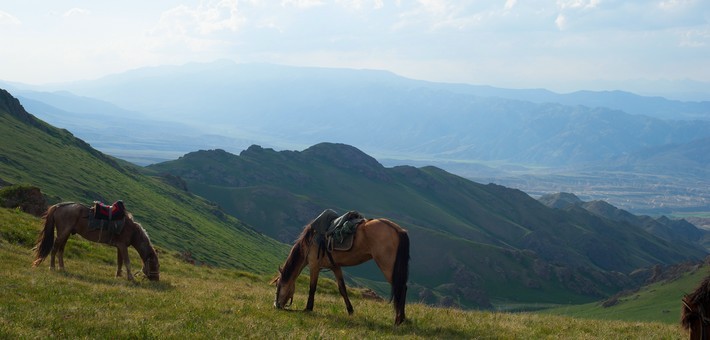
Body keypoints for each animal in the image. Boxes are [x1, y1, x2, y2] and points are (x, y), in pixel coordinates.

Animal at [32, 203, 160, 280]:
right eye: (155, 265)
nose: (156, 280)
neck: (132, 230)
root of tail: (58, 206)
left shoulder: (120, 246)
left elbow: (120, 262)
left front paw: (118, 275)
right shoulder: (123, 246)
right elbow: (127, 262)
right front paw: (131, 278)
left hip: (66, 234)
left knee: (61, 250)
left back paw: (62, 268)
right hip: (62, 233)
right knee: (54, 249)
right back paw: (52, 267)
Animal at [272, 216, 412, 326]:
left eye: (278, 286)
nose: (276, 305)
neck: (309, 243)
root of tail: (397, 229)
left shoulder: (314, 266)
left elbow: (312, 288)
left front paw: (308, 308)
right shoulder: (336, 267)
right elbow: (342, 289)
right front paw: (350, 310)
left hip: (387, 266)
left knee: (400, 287)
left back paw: (398, 320)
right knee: (403, 287)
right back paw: (402, 319)